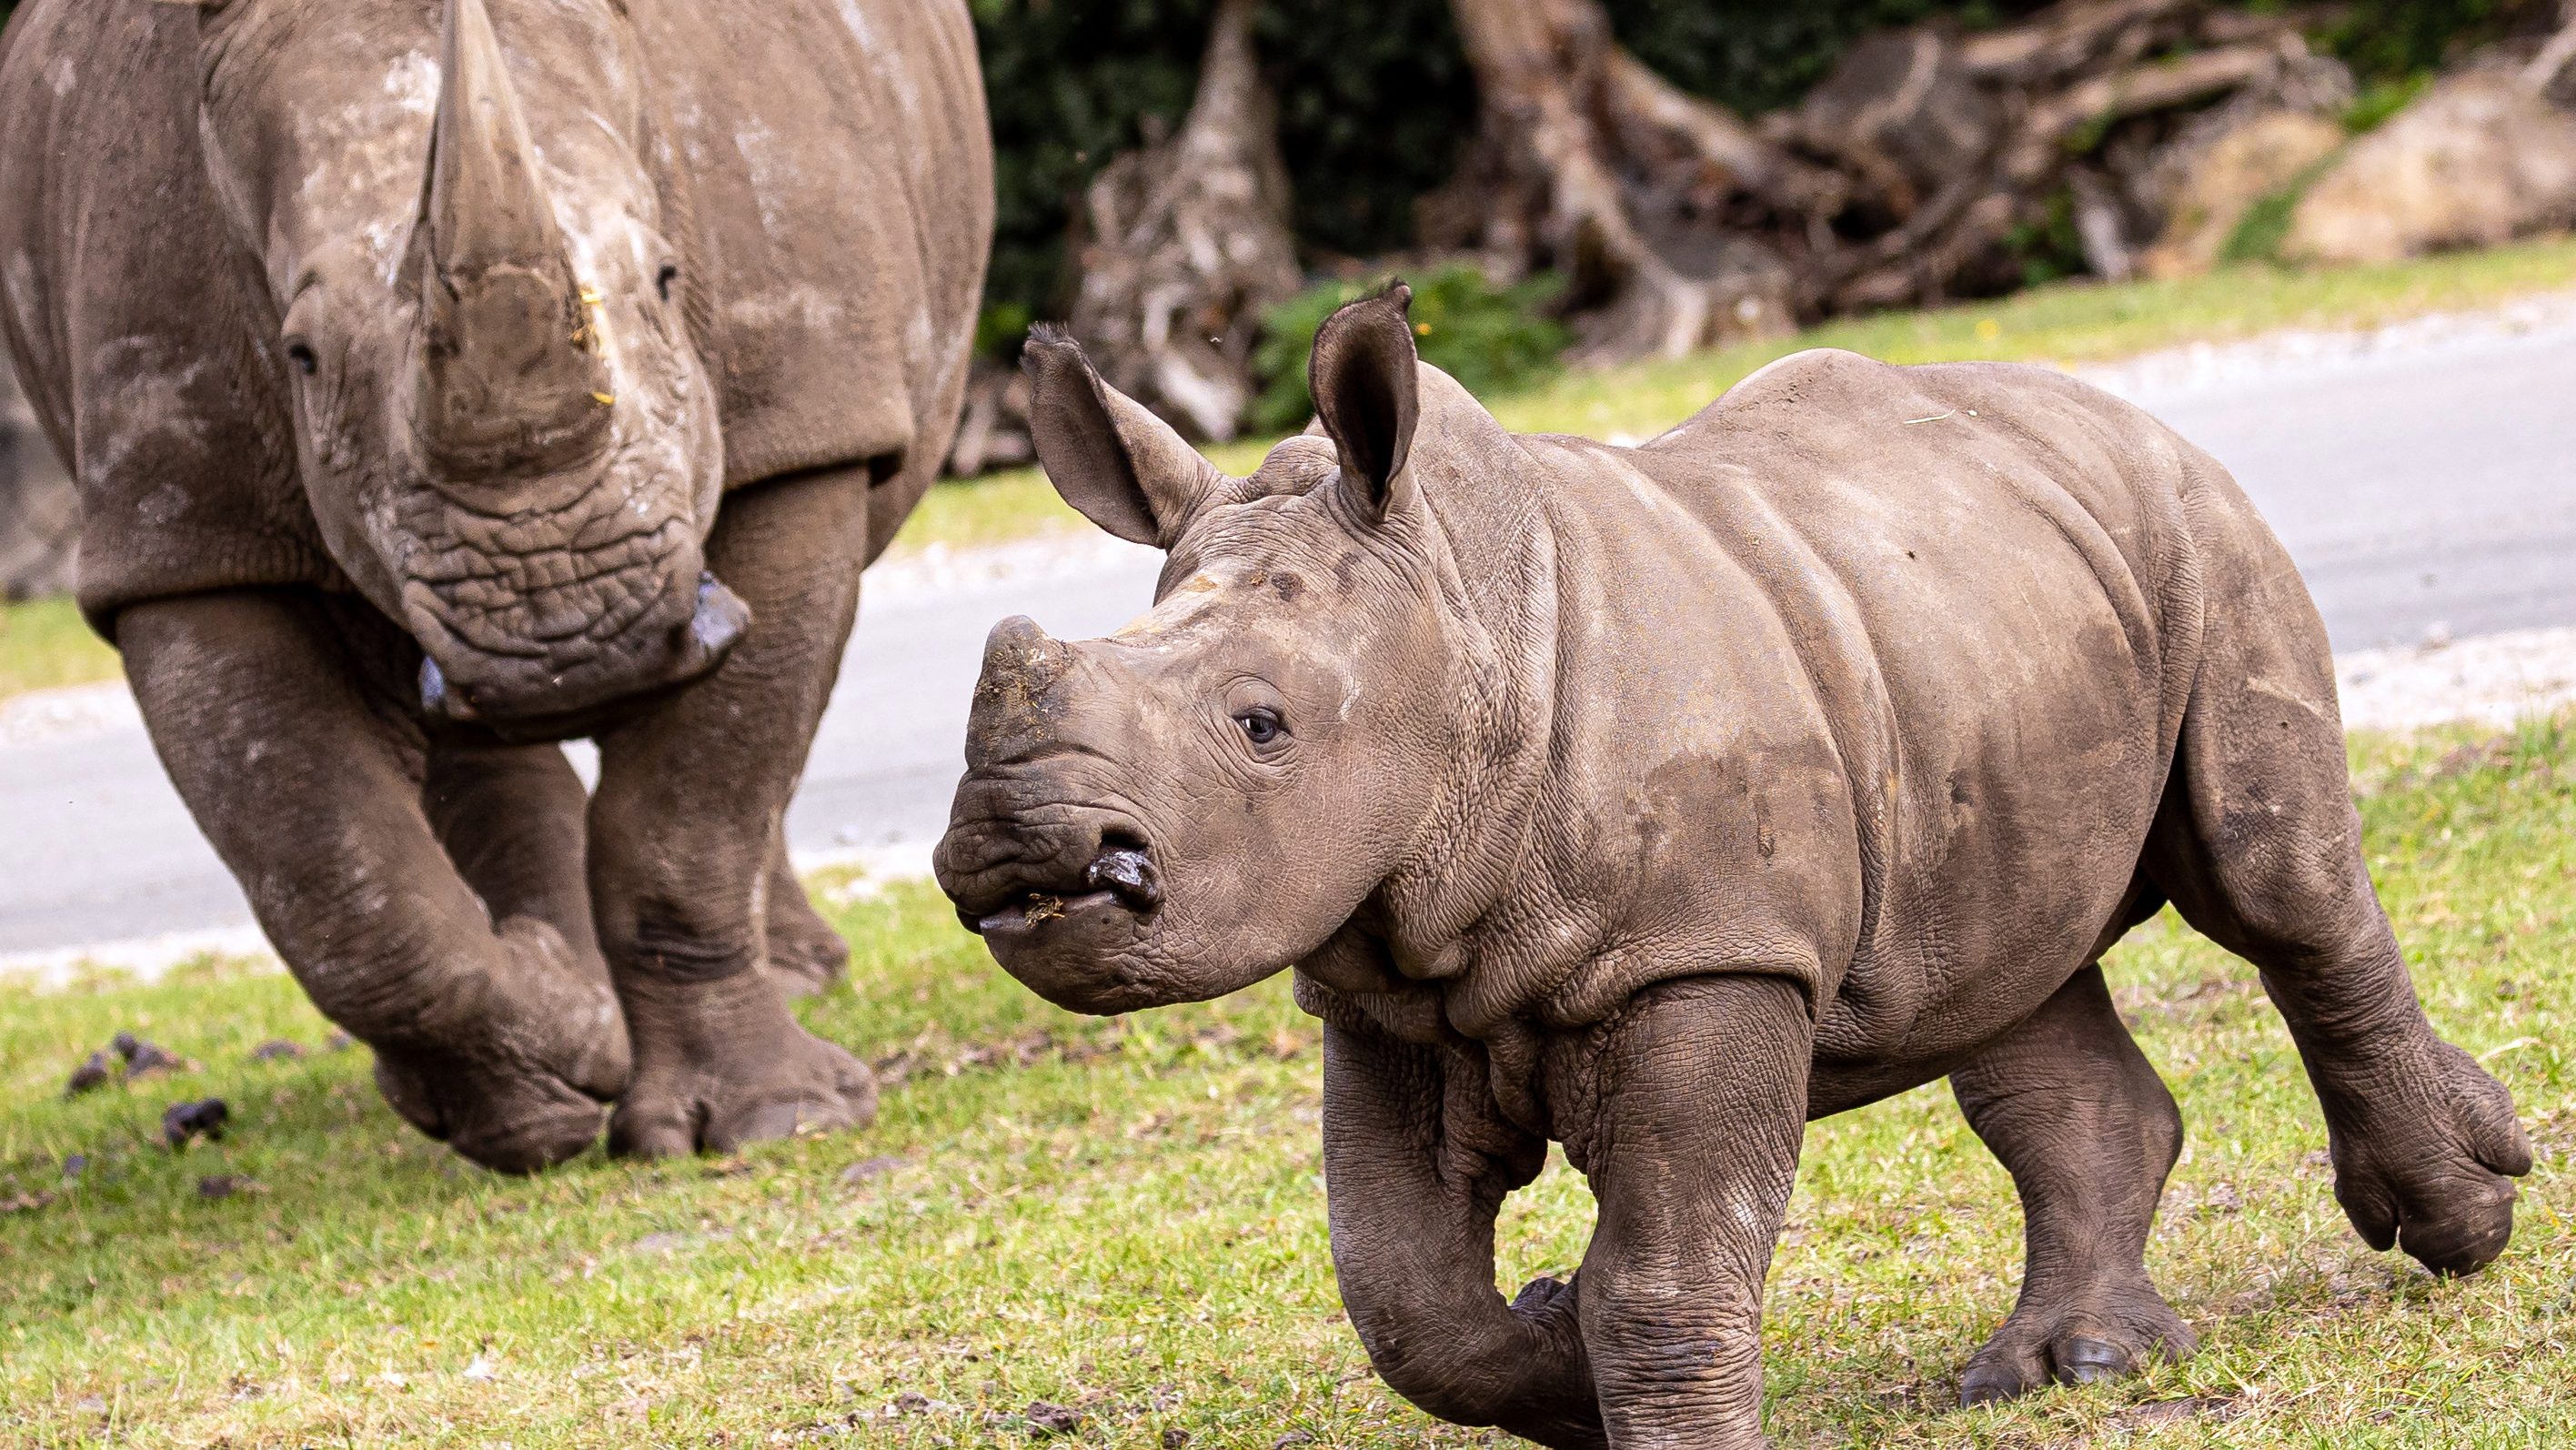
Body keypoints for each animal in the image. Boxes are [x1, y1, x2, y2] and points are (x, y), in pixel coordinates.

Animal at [0, 0, 989, 1169]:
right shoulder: (180, 528)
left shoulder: (807, 416)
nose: (574, 644)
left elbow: (695, 805)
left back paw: (788, 978)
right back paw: (543, 1049)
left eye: (669, 279)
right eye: (300, 355)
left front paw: (774, 1121)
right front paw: (569, 1056)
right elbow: (340, 892)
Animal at [937, 289, 2524, 1442]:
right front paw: (1555, 1343)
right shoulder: (1383, 982)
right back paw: (2067, 1366)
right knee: (2010, 986)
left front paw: (1603, 1345)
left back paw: (2460, 1220)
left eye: (1261, 725)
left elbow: (1668, 1273)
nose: (1018, 850)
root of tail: (2113, 407)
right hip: (1971, 624)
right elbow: (1404, 1300)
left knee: (2272, 887)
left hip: (2201, 534)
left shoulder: (1708, 948)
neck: (1461, 620)